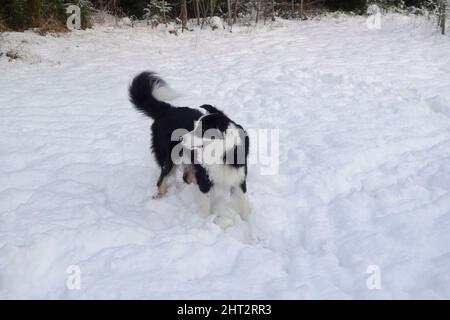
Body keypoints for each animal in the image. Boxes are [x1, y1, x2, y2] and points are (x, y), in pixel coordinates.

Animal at [128, 70, 251, 220]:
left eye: (200, 130)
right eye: (195, 126)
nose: (180, 138)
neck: (222, 153)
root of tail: (167, 109)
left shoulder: (238, 178)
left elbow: (244, 206)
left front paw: (248, 223)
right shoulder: (205, 179)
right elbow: (205, 206)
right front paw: (204, 223)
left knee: (186, 177)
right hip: (170, 158)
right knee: (161, 180)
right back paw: (159, 196)